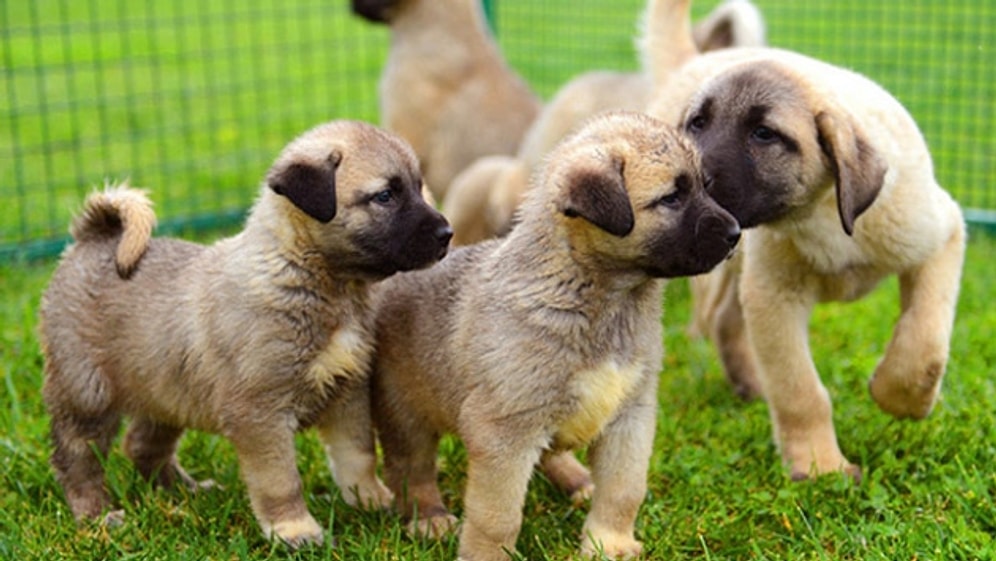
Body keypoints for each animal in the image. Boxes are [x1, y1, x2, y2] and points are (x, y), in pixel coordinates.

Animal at [39, 119, 452, 548]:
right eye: (385, 196)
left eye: (418, 187)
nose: (447, 233)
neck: (312, 276)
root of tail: (93, 238)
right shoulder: (260, 413)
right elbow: (280, 480)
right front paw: (294, 530)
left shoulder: (347, 393)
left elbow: (357, 455)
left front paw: (371, 500)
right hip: (87, 394)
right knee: (77, 459)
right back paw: (97, 515)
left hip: (165, 387)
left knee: (143, 445)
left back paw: (185, 491)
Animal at [366, 111, 740, 556]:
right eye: (672, 198)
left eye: (705, 186)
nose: (736, 233)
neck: (599, 298)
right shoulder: (505, 430)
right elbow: (497, 516)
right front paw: (486, 556)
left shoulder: (630, 416)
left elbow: (623, 490)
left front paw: (609, 543)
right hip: (406, 411)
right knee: (412, 471)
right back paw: (429, 518)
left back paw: (578, 481)